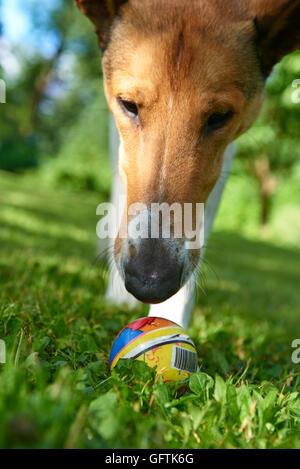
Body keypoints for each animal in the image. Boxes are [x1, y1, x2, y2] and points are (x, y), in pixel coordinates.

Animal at [75, 0, 300, 328]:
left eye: (219, 116)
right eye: (128, 104)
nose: (150, 281)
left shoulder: (222, 153)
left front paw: (170, 315)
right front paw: (117, 294)